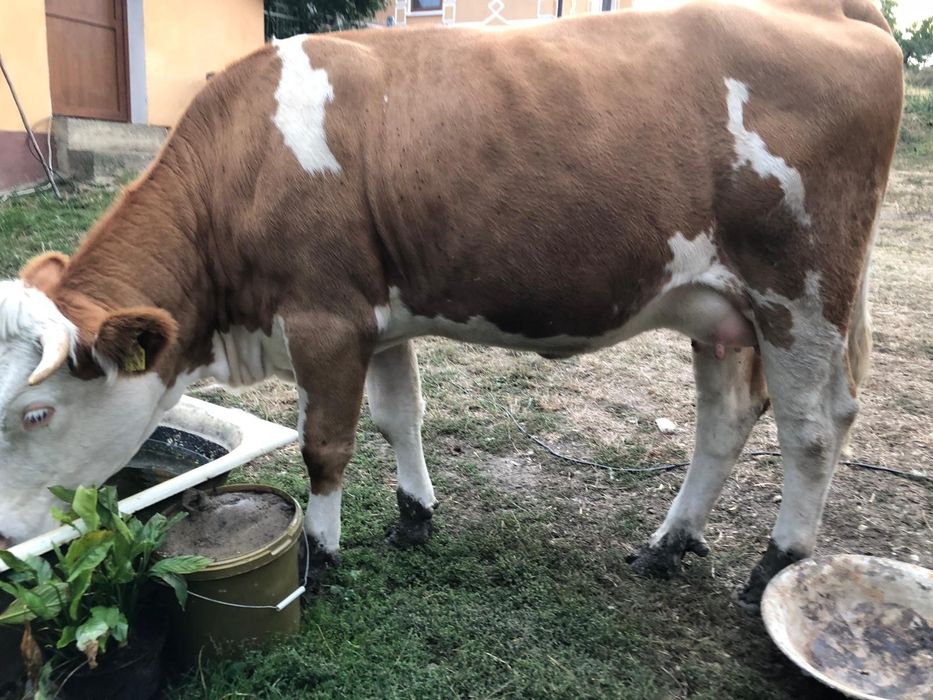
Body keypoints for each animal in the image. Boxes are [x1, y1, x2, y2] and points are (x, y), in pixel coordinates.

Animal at [0, 0, 903, 607]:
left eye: (36, 413)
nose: (7, 538)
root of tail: (825, 10)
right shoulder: (376, 318)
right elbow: (399, 416)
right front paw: (413, 517)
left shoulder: (324, 321)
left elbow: (325, 446)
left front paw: (320, 558)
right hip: (719, 311)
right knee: (724, 422)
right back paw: (668, 544)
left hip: (800, 294)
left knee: (812, 430)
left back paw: (774, 566)